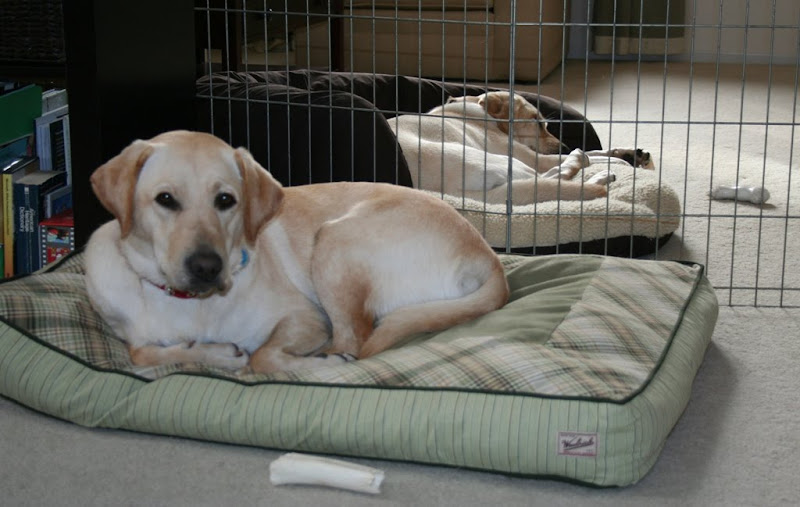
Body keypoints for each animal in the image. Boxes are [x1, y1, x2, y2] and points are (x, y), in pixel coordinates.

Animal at [84, 131, 510, 376]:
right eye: (165, 199)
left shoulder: (304, 317)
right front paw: (210, 352)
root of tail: (489, 259)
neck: (193, 305)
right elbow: (142, 354)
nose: (207, 267)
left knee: (354, 340)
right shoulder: (134, 335)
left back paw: (329, 360)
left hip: (334, 240)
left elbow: (262, 356)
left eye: (226, 200)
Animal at [390, 91, 656, 204]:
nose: (563, 144)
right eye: (538, 122)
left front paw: (629, 155)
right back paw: (593, 170)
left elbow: (598, 151)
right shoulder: (534, 157)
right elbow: (588, 156)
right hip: (498, 160)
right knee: (555, 176)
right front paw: (620, 161)